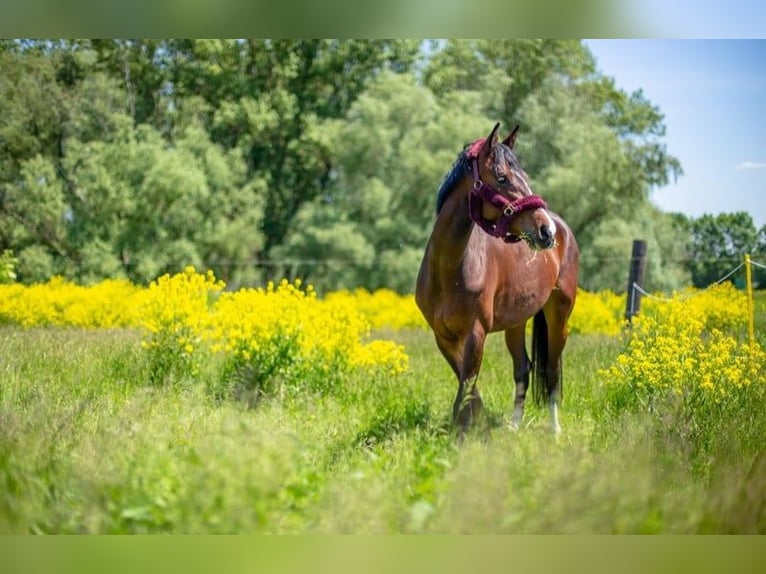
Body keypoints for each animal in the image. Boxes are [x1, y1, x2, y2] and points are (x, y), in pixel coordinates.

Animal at [415, 122, 579, 435]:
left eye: (525, 177)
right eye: (502, 178)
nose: (546, 231)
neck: (449, 271)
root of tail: (563, 228)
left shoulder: (475, 334)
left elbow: (466, 386)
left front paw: (465, 433)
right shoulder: (443, 337)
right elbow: (468, 387)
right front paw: (477, 422)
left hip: (558, 315)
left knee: (551, 371)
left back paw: (554, 430)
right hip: (516, 322)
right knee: (523, 368)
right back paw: (513, 427)